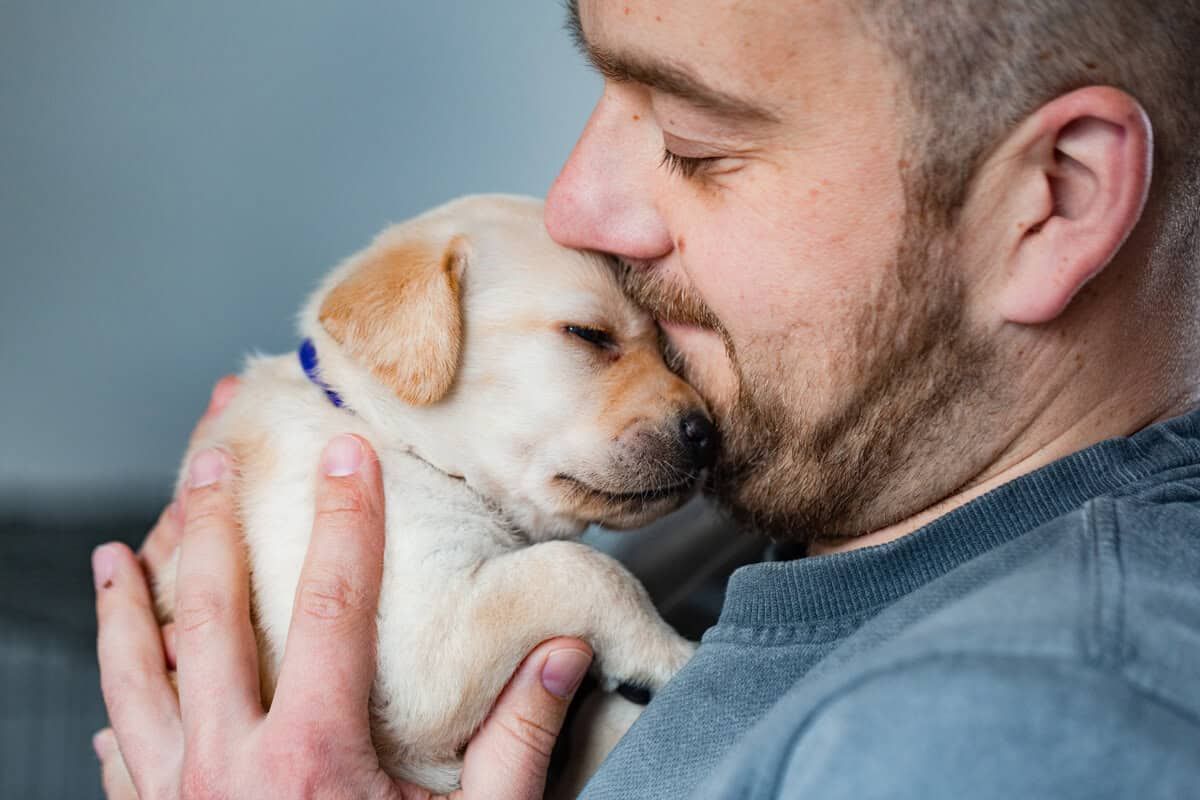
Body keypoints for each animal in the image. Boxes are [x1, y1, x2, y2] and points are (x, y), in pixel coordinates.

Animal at [150, 195, 710, 796]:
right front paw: (670, 652)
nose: (706, 435)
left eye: (669, 350)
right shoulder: (416, 657)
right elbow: (580, 569)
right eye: (588, 334)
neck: (387, 433)